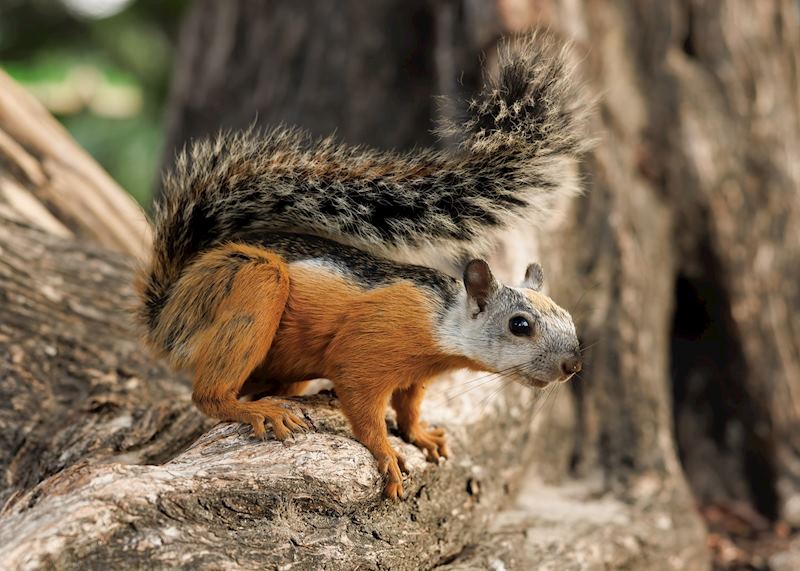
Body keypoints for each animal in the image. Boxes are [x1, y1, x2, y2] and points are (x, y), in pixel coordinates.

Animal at [137, 35, 590, 500]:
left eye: (569, 317)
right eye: (520, 325)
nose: (573, 365)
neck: (441, 323)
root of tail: (168, 311)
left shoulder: (416, 375)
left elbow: (408, 406)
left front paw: (421, 435)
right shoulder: (366, 353)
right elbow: (363, 407)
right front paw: (387, 455)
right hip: (249, 281)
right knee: (210, 395)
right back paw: (257, 409)